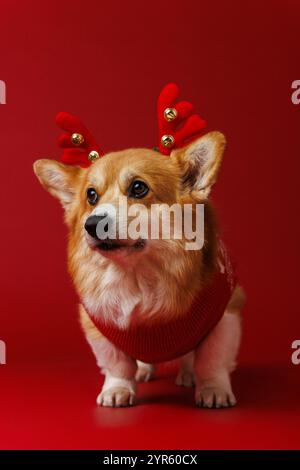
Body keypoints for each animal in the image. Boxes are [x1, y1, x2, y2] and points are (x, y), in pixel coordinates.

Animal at [34, 127, 245, 408]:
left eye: (138, 187)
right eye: (91, 195)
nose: (92, 224)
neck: (136, 274)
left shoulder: (225, 315)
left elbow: (212, 361)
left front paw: (214, 390)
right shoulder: (100, 326)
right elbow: (118, 366)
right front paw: (117, 390)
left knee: (192, 357)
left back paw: (189, 375)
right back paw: (144, 369)